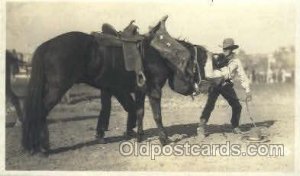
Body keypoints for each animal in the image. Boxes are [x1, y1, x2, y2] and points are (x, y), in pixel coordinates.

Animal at [21, 16, 192, 154]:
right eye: (191, 64)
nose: (192, 89)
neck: (159, 53)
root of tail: (47, 45)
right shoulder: (154, 90)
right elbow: (157, 115)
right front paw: (164, 139)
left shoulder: (139, 91)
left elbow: (139, 112)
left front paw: (139, 137)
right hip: (56, 89)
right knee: (41, 111)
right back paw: (42, 146)